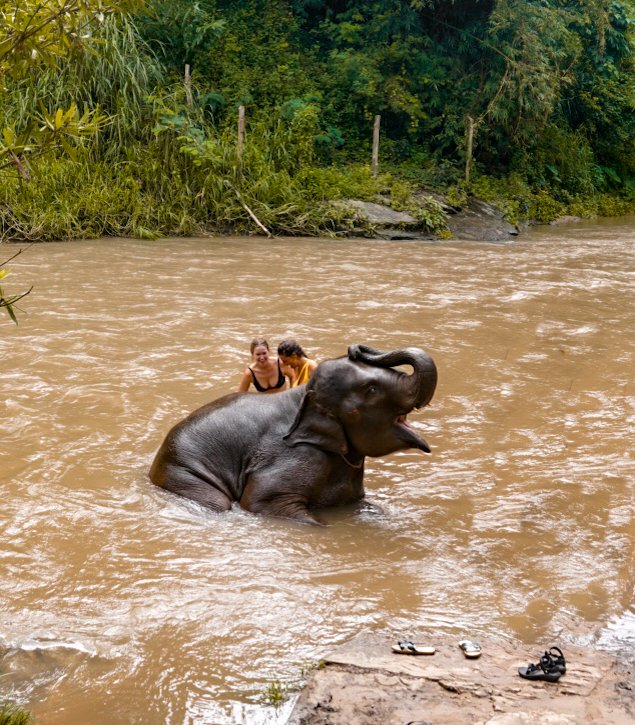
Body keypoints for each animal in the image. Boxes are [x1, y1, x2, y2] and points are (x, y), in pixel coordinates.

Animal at [149, 342, 438, 524]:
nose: (355, 348)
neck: (303, 397)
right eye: (372, 389)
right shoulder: (293, 457)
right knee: (217, 502)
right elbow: (258, 501)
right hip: (181, 474)